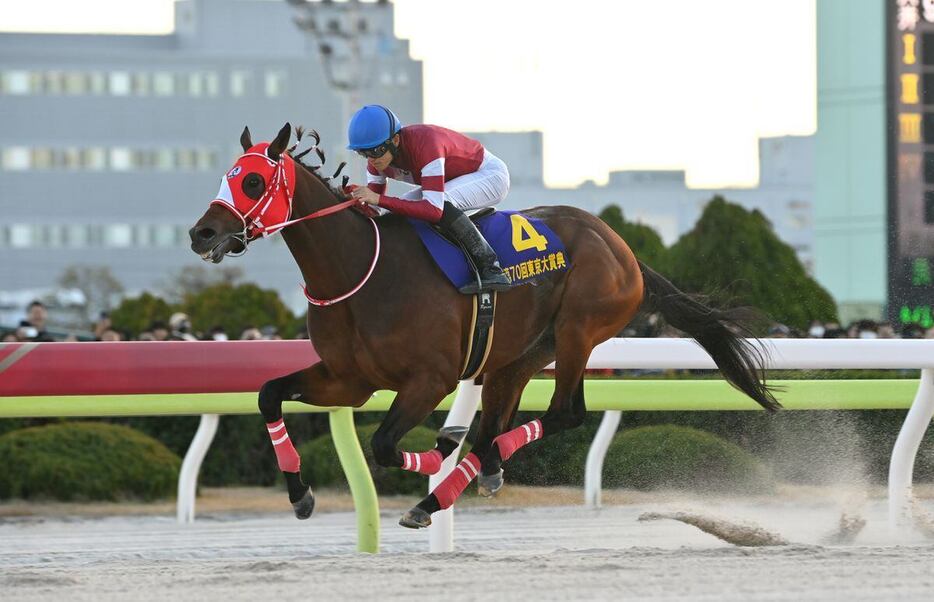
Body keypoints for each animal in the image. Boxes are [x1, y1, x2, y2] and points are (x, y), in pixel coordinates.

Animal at [186, 124, 780, 528]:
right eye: (226, 176)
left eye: (254, 180)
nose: (200, 233)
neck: (361, 270)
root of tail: (623, 248)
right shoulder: (347, 380)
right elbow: (268, 395)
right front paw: (300, 495)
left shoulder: (430, 379)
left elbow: (383, 444)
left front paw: (436, 452)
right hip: (520, 354)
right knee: (498, 419)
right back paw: (473, 472)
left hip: (578, 331)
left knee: (563, 413)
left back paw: (450, 482)